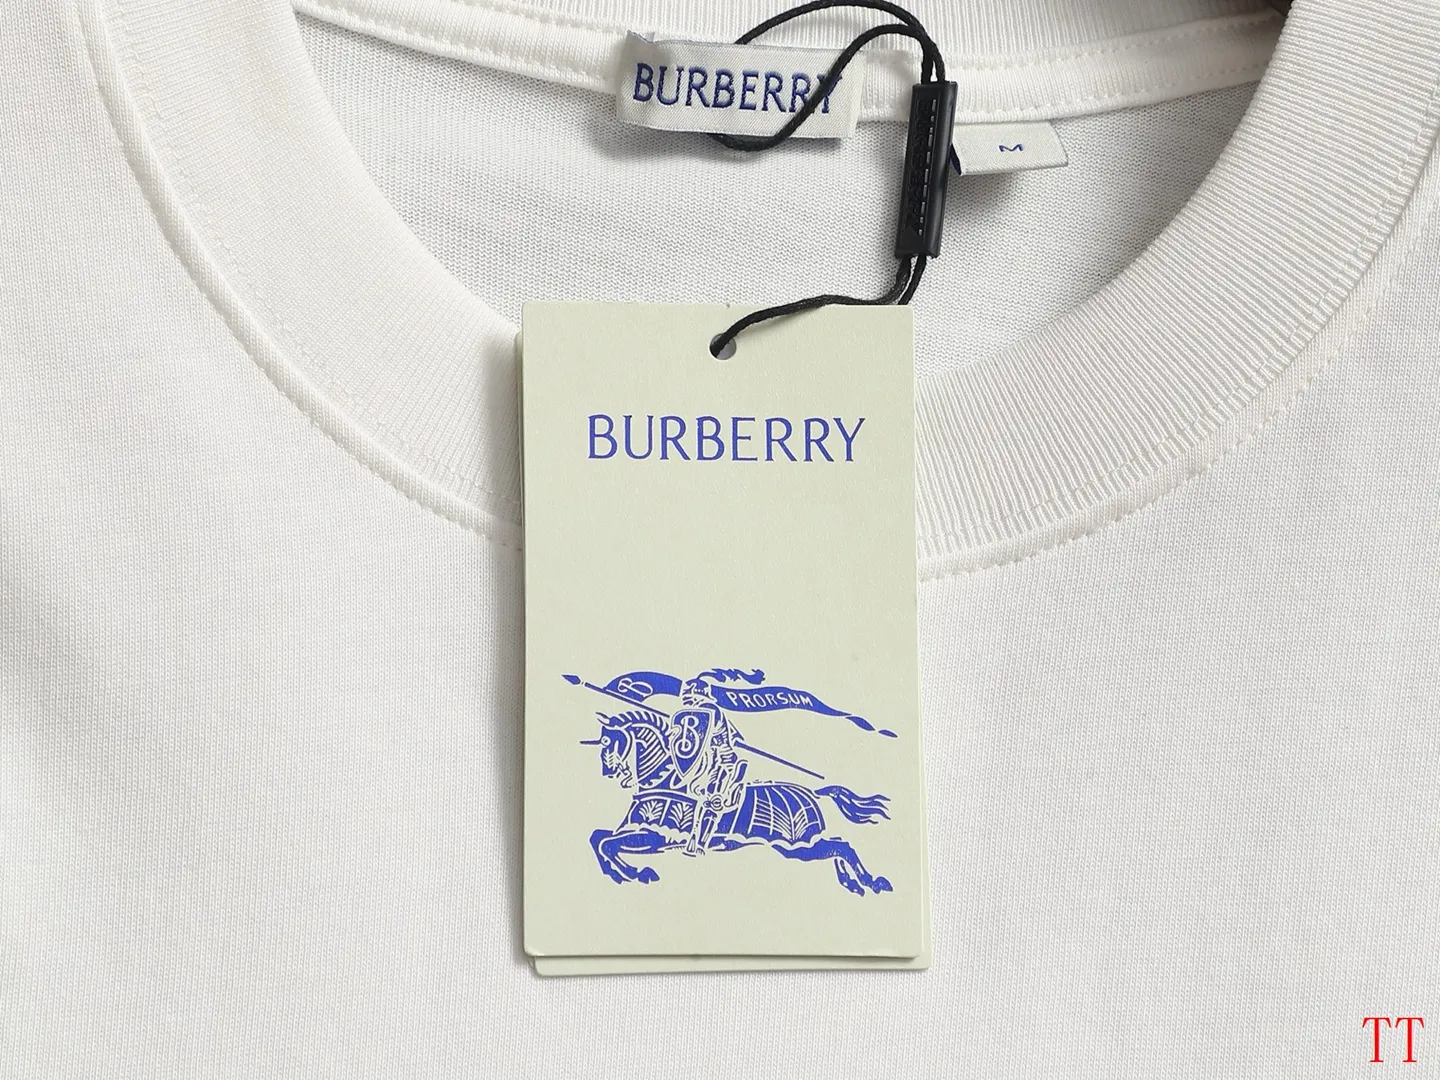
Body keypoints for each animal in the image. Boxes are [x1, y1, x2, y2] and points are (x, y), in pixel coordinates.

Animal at [587, 710, 894, 896]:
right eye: (602, 743)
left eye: (610, 743)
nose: (607, 771)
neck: (665, 781)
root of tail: (815, 792)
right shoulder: (639, 832)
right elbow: (598, 838)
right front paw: (618, 873)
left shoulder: (655, 836)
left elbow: (607, 844)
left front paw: (636, 872)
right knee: (838, 846)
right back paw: (853, 883)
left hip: (796, 846)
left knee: (842, 847)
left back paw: (871, 881)